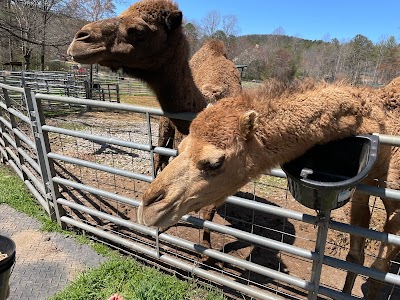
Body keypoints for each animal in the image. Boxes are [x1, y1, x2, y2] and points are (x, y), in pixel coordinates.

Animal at [67, 0, 242, 250]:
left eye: (138, 30)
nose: (80, 39)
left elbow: (209, 209)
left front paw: (207, 250)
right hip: (163, 127)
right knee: (160, 158)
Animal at [140, 78, 400, 298]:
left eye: (214, 163)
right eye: (181, 146)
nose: (148, 206)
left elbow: (379, 269)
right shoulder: (362, 189)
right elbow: (355, 256)